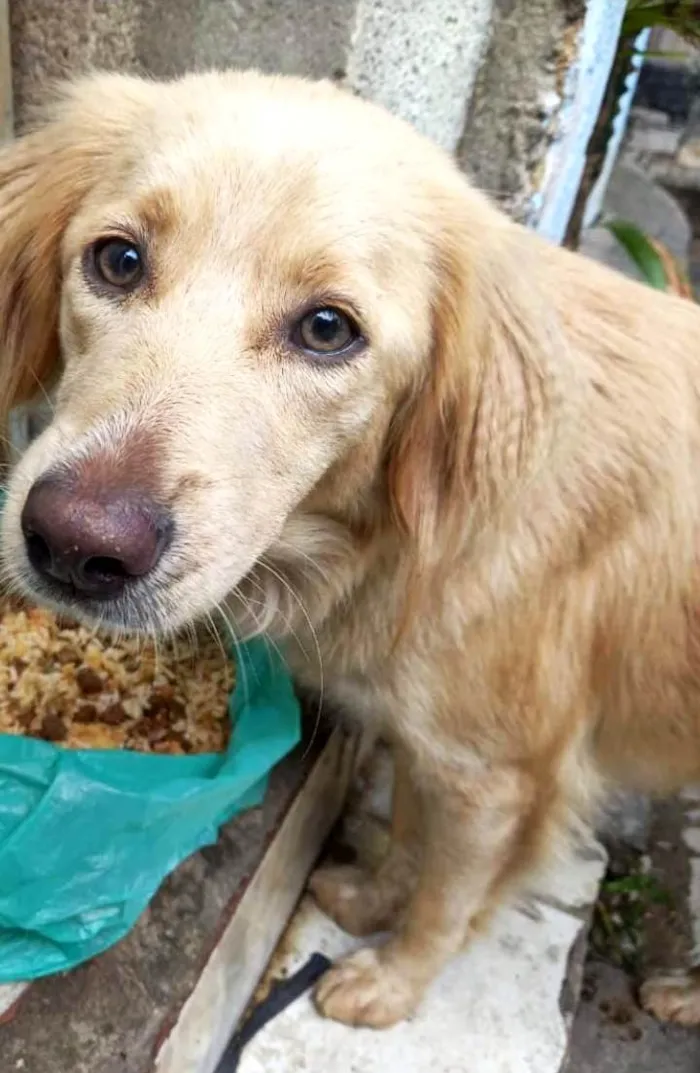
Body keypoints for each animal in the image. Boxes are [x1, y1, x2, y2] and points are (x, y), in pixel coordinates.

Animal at [1, 71, 700, 1025]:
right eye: (118, 261)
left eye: (328, 329)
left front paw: (391, 979)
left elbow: (448, 897)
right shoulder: (422, 740)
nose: (74, 545)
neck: (388, 544)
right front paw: (372, 897)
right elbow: (407, 829)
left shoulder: (501, 778)